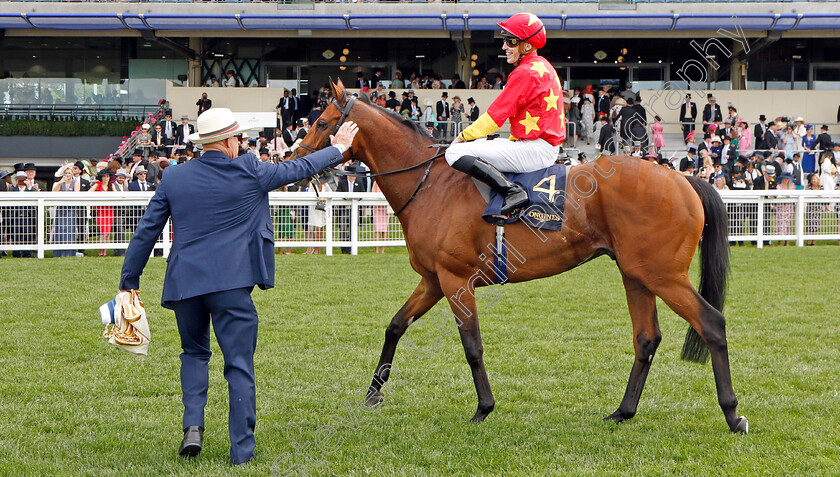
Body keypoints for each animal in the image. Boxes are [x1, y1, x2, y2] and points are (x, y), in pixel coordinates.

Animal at [300, 80, 748, 434]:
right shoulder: (432, 280)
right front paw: (372, 394)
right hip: (636, 275)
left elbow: (472, 346)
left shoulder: (455, 280)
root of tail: (682, 177)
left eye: (321, 123)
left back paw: (732, 414)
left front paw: (483, 408)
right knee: (646, 338)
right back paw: (622, 412)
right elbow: (395, 326)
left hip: (663, 275)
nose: (293, 155)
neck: (430, 183)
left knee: (711, 323)